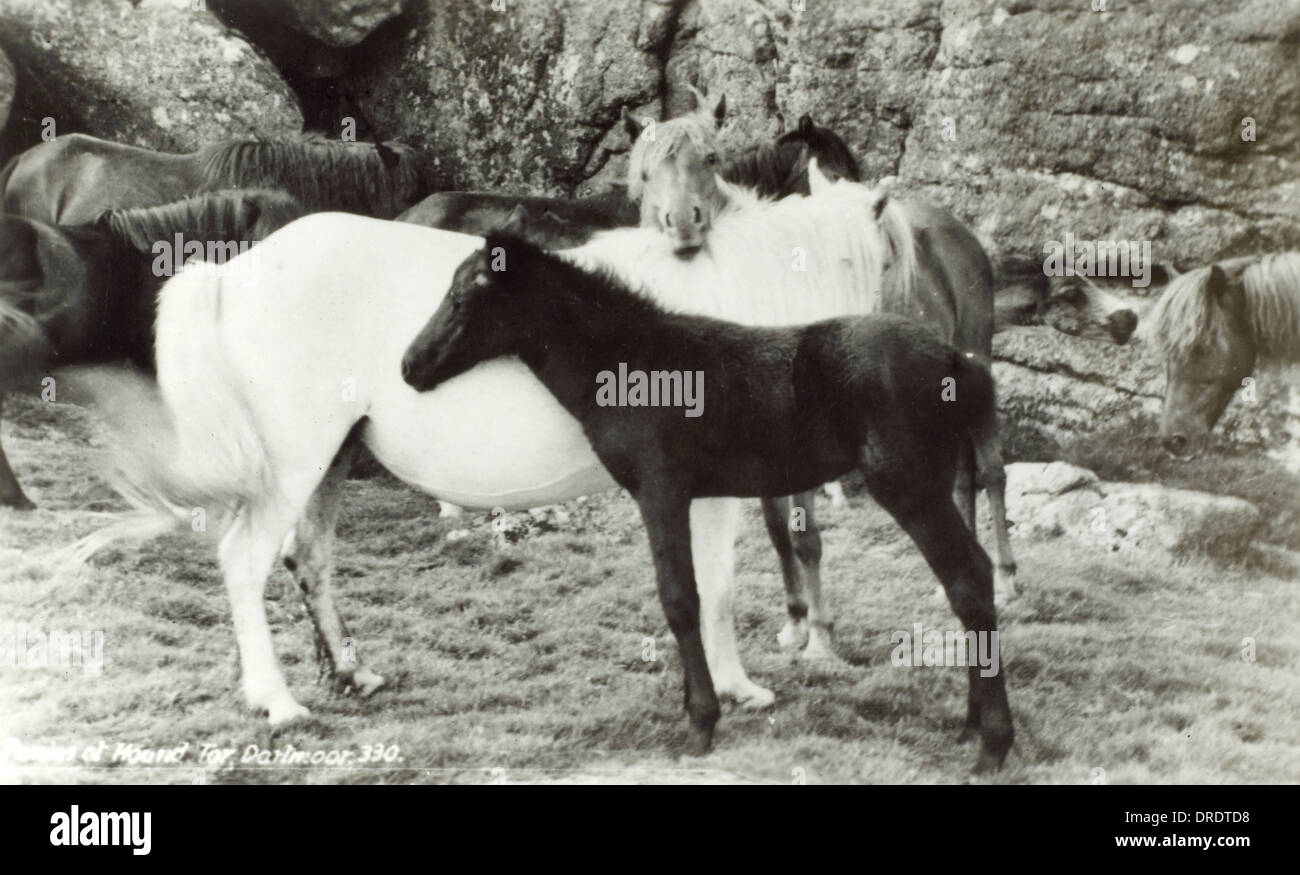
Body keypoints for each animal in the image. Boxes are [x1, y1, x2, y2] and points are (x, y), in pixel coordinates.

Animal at [72, 173, 938, 744]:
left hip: (328, 464)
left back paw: (352, 672)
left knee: (307, 560)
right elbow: (715, 587)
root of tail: (232, 272)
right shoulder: (706, 491)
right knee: (246, 563)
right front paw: (737, 688)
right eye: (886, 262)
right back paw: (277, 701)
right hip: (292, 464)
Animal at [399, 228, 1015, 773]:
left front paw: (700, 723)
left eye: (459, 298)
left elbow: (679, 599)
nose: (410, 366)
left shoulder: (660, 491)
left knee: (967, 579)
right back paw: (969, 725)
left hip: (909, 486)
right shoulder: (690, 497)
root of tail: (954, 360)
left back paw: (992, 744)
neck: (634, 364)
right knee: (971, 576)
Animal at [626, 92, 1017, 658]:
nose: (682, 225)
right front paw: (795, 620)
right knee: (964, 478)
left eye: (711, 158)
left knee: (990, 471)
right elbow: (775, 526)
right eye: (645, 171)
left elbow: (804, 533)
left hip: (976, 361)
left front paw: (819, 634)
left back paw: (1007, 578)